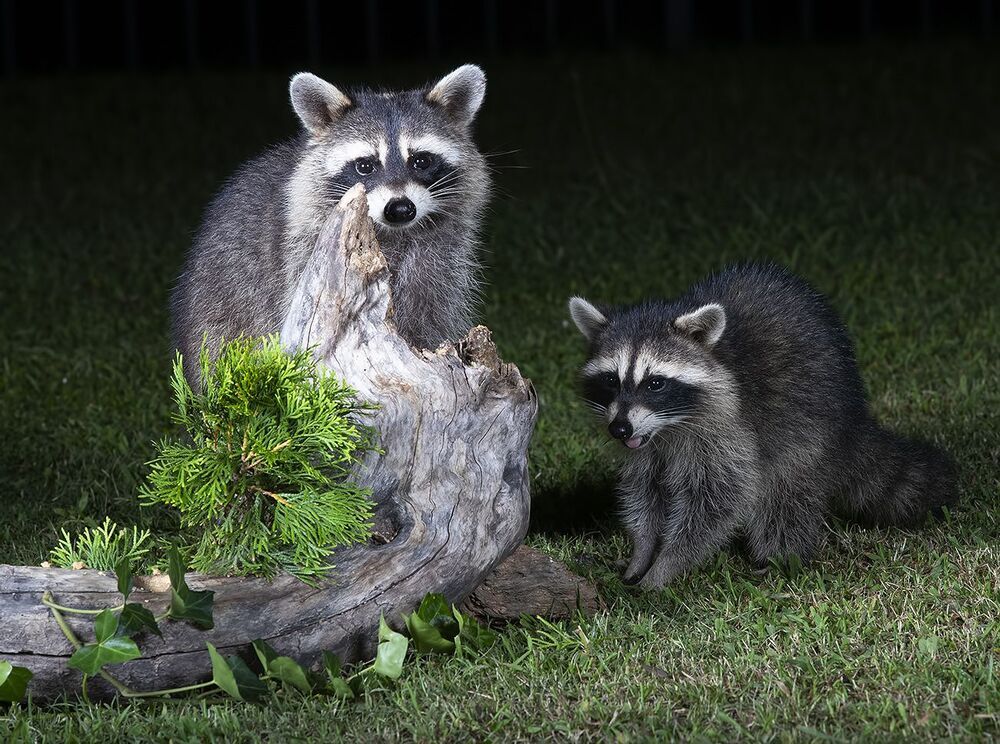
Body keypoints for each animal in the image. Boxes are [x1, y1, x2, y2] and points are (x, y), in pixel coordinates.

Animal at [171, 65, 491, 383]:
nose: (400, 209)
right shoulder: (305, 247)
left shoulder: (438, 259)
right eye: (365, 165)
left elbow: (429, 313)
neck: (393, 233)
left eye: (421, 161)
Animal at [569, 263, 956, 589]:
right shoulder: (647, 448)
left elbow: (717, 503)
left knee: (784, 498)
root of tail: (856, 418)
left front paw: (666, 567)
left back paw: (779, 558)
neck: (669, 427)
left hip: (808, 431)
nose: (619, 430)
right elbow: (645, 494)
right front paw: (642, 551)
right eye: (611, 380)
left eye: (655, 383)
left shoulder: (731, 430)